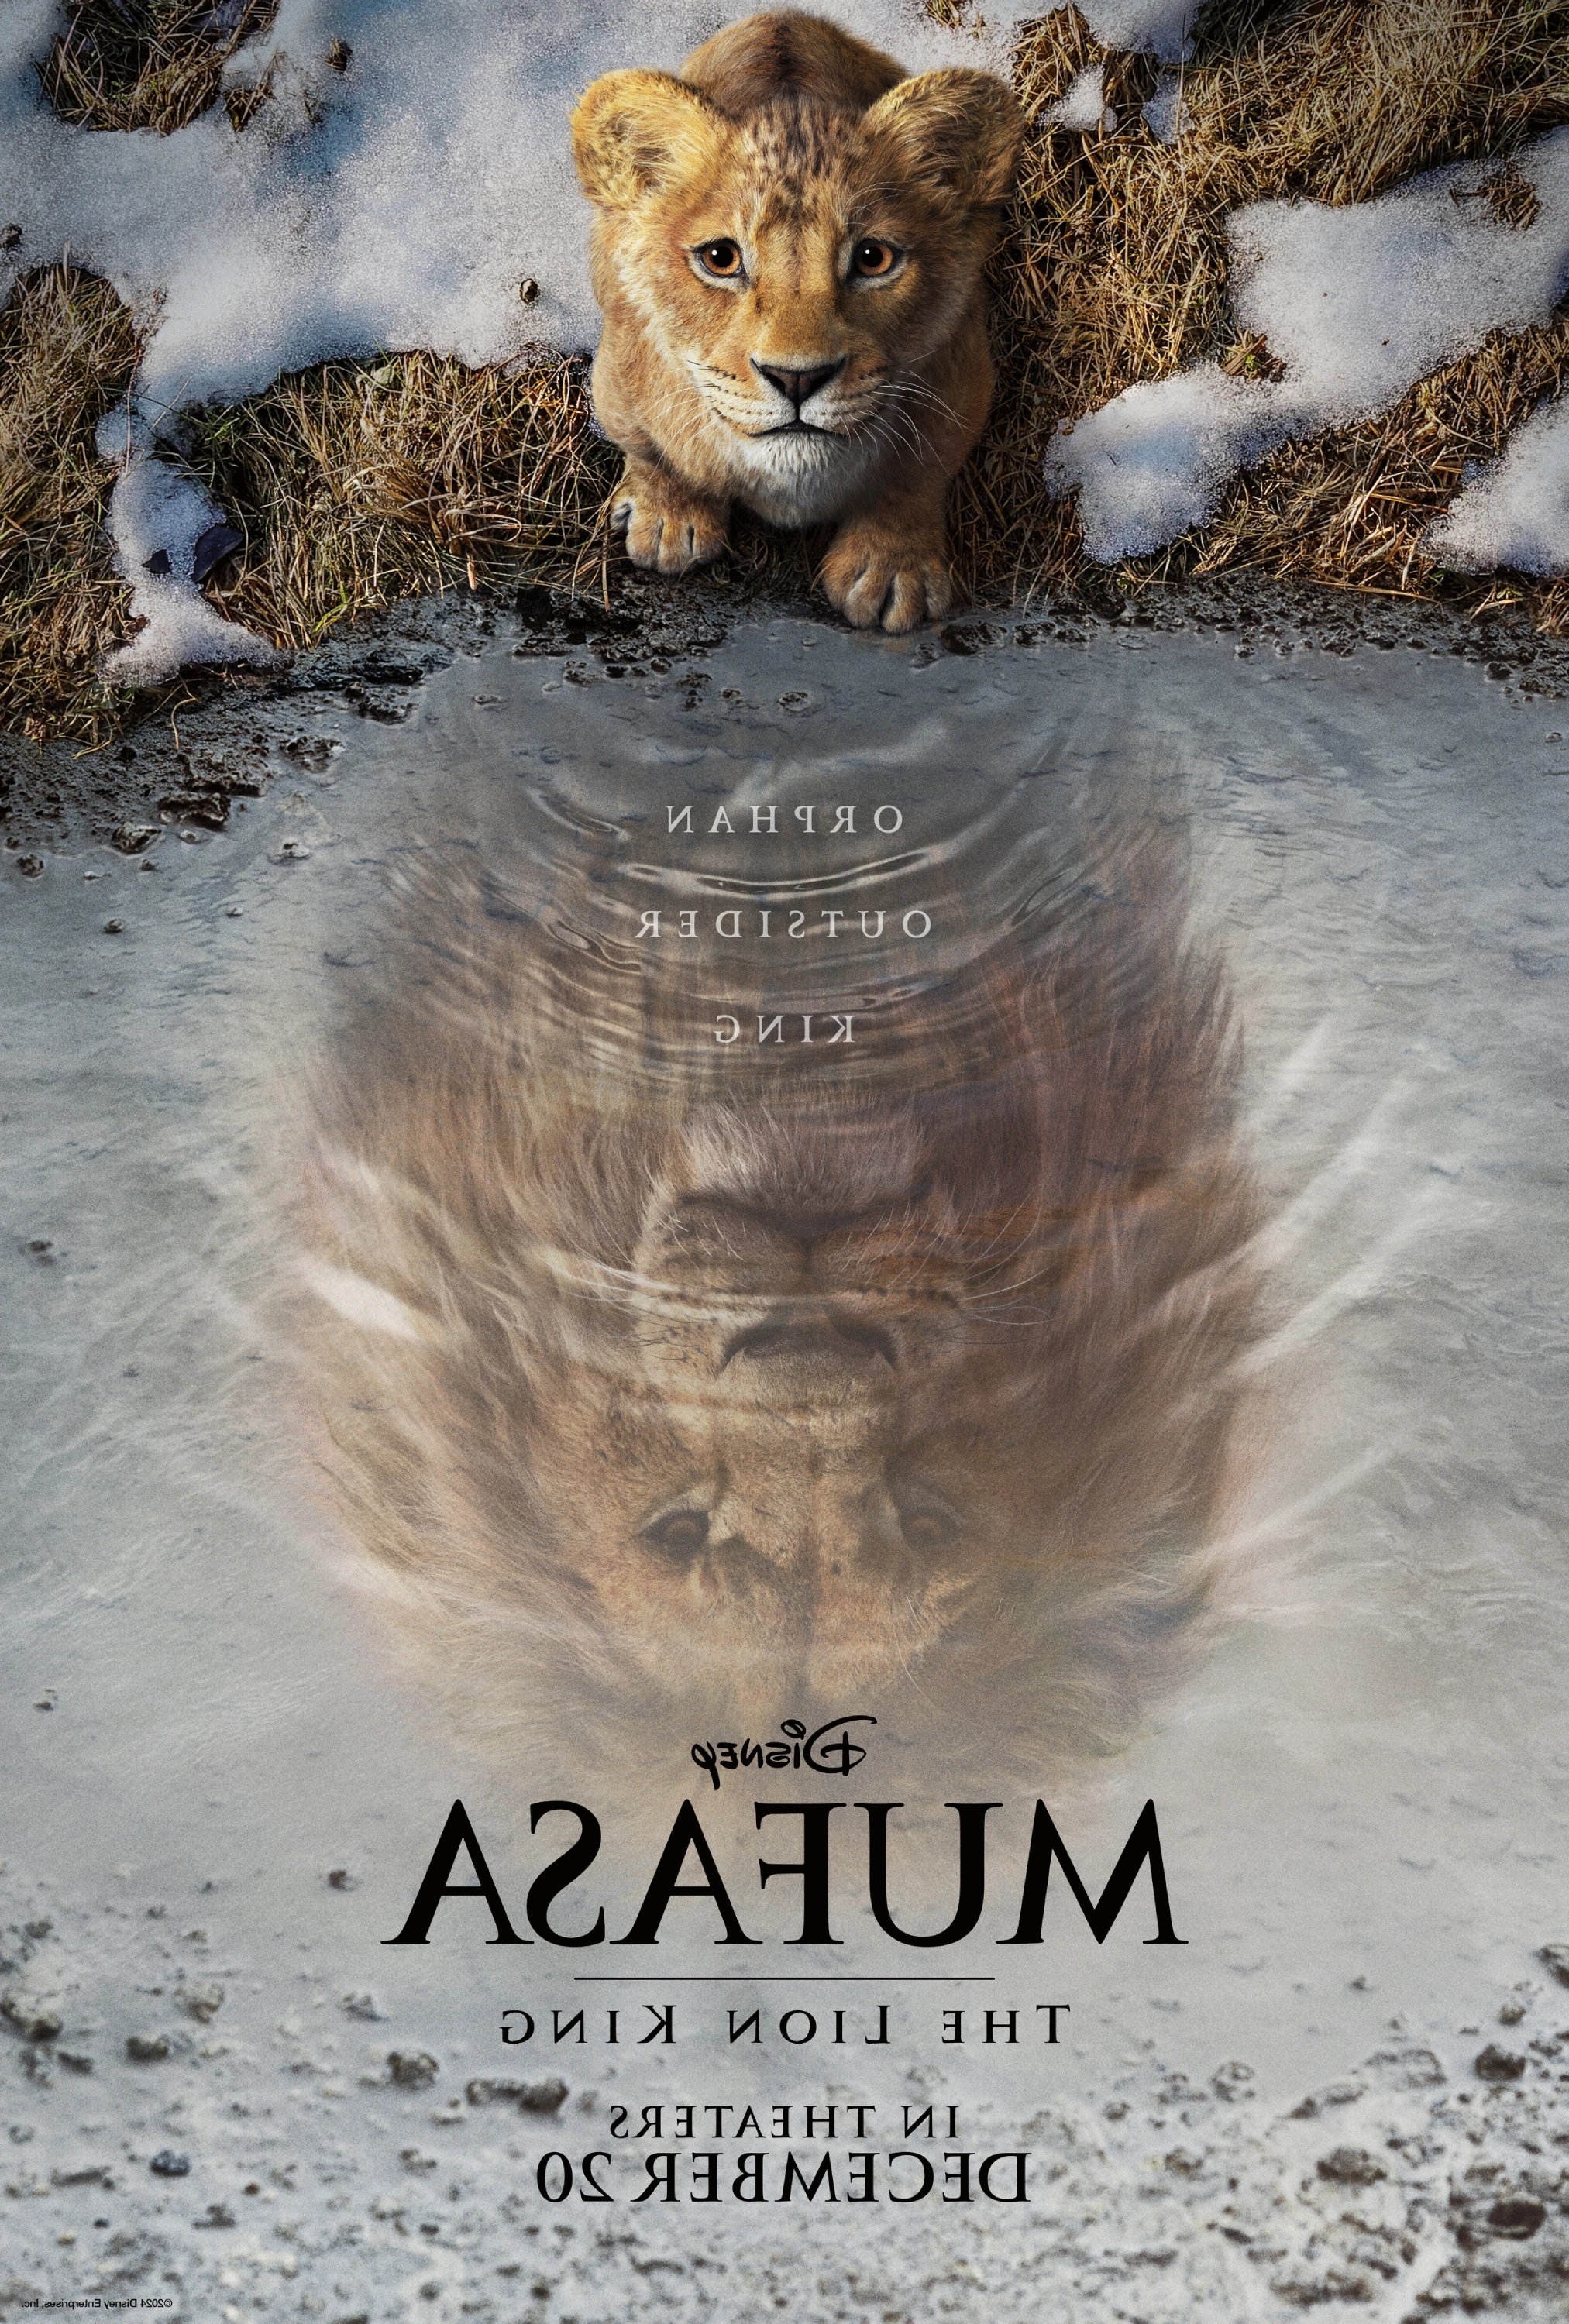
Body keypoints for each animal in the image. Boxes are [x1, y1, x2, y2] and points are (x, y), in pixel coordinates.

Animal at [570, 11, 1022, 632]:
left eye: (873, 258)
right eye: (720, 258)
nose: (798, 379)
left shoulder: (963, 377)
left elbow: (916, 477)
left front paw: (890, 571)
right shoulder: (617, 376)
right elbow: (652, 450)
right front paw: (668, 521)